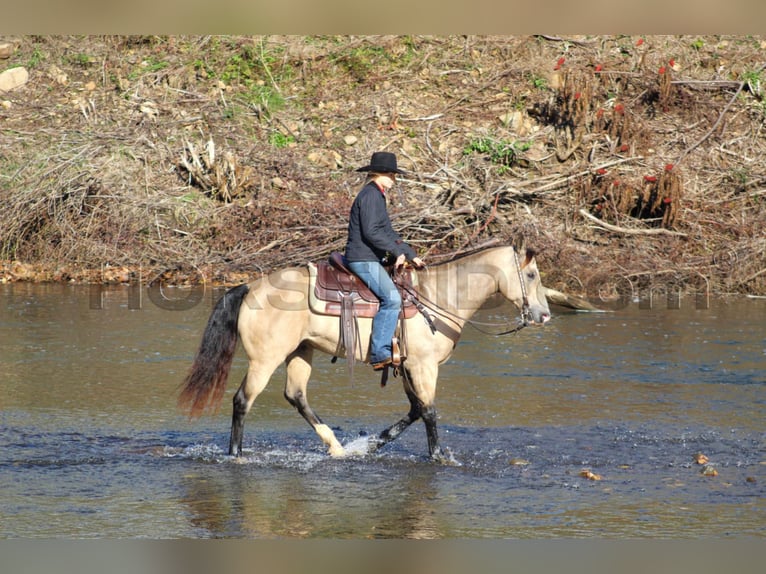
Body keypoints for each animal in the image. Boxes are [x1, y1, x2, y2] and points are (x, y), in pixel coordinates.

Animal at [180, 242, 552, 464]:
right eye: (531, 274)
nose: (544, 315)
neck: (439, 297)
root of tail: (250, 287)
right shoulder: (424, 366)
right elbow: (430, 411)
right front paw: (439, 456)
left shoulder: (406, 367)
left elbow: (416, 410)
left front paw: (371, 445)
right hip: (265, 359)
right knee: (243, 400)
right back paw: (236, 455)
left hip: (300, 352)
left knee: (296, 395)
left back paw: (337, 447)